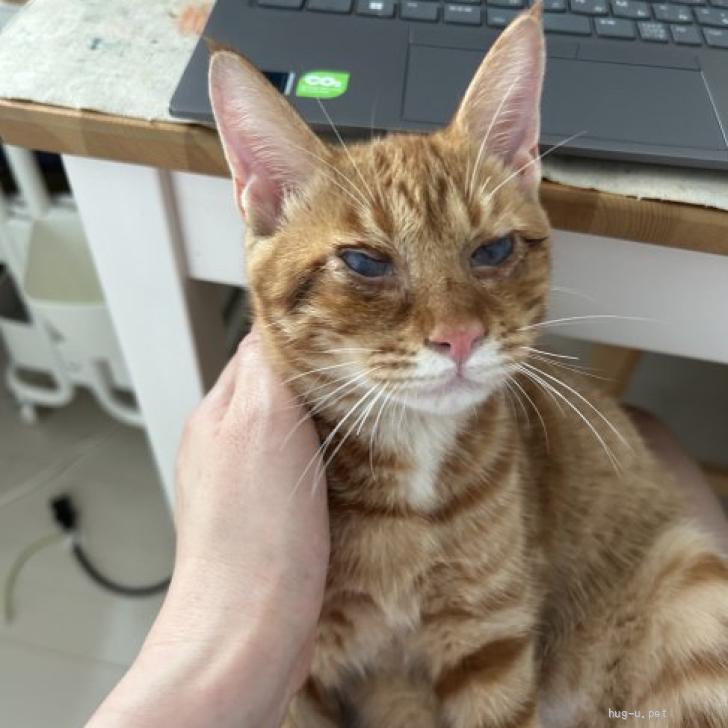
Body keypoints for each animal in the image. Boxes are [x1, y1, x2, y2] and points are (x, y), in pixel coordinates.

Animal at [209, 6, 728, 727]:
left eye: (494, 250)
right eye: (365, 262)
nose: (459, 337)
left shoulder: (491, 647)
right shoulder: (307, 683)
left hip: (691, 585)